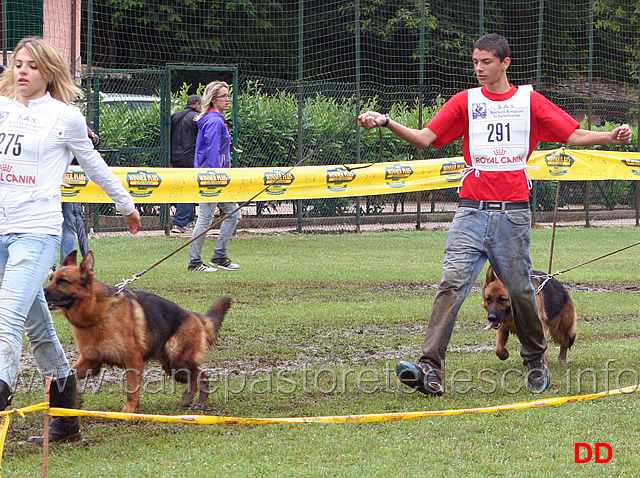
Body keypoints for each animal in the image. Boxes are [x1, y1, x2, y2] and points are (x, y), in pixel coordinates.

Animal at [43, 250, 231, 414]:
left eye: (63, 281)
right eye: (51, 279)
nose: (41, 293)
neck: (98, 313)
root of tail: (196, 316)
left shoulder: (133, 360)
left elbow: (132, 389)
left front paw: (128, 412)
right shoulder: (91, 361)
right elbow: (67, 377)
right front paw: (76, 400)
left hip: (177, 361)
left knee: (202, 376)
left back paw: (198, 402)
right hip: (172, 367)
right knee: (196, 377)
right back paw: (189, 398)